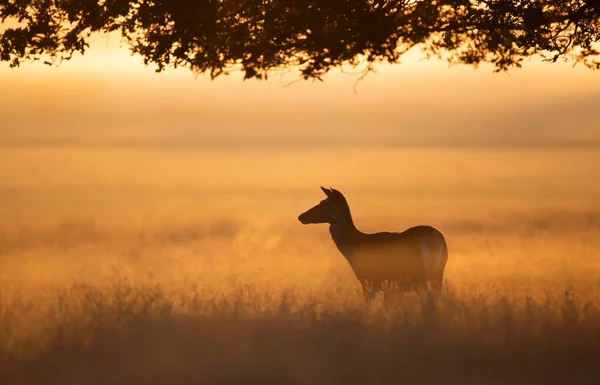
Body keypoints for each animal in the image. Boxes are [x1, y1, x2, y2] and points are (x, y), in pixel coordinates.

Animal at [298, 184, 448, 308]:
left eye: (325, 203)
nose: (301, 216)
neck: (355, 246)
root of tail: (433, 240)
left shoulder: (368, 281)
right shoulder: (389, 286)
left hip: (419, 275)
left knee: (428, 301)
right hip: (437, 273)